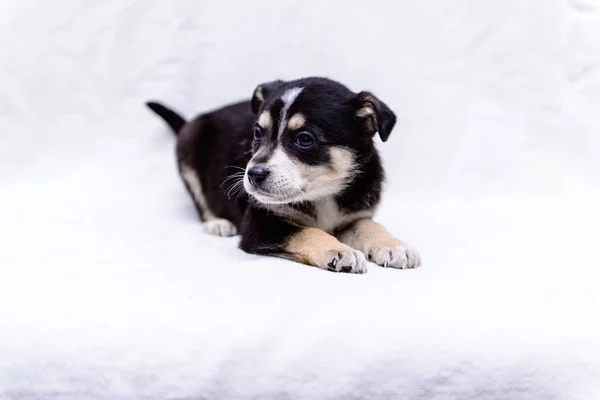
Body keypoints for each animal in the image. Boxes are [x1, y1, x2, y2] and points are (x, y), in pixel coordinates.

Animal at [146, 76, 422, 274]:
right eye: (257, 133)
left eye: (305, 139)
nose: (253, 175)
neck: (323, 194)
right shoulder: (260, 224)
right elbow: (307, 232)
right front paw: (339, 251)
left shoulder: (354, 216)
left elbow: (371, 226)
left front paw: (396, 247)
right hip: (188, 148)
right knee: (201, 201)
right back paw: (218, 223)